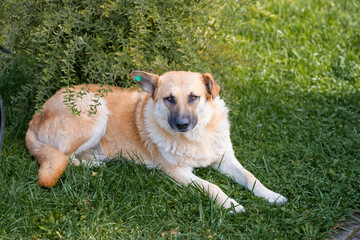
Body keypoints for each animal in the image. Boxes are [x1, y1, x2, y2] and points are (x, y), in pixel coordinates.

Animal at [26, 70, 286, 213]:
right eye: (169, 99)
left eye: (193, 97)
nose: (181, 124)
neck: (196, 137)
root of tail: (38, 112)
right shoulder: (178, 172)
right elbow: (212, 186)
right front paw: (230, 204)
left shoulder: (225, 160)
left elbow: (251, 178)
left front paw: (271, 195)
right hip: (96, 110)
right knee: (65, 157)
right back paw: (96, 165)